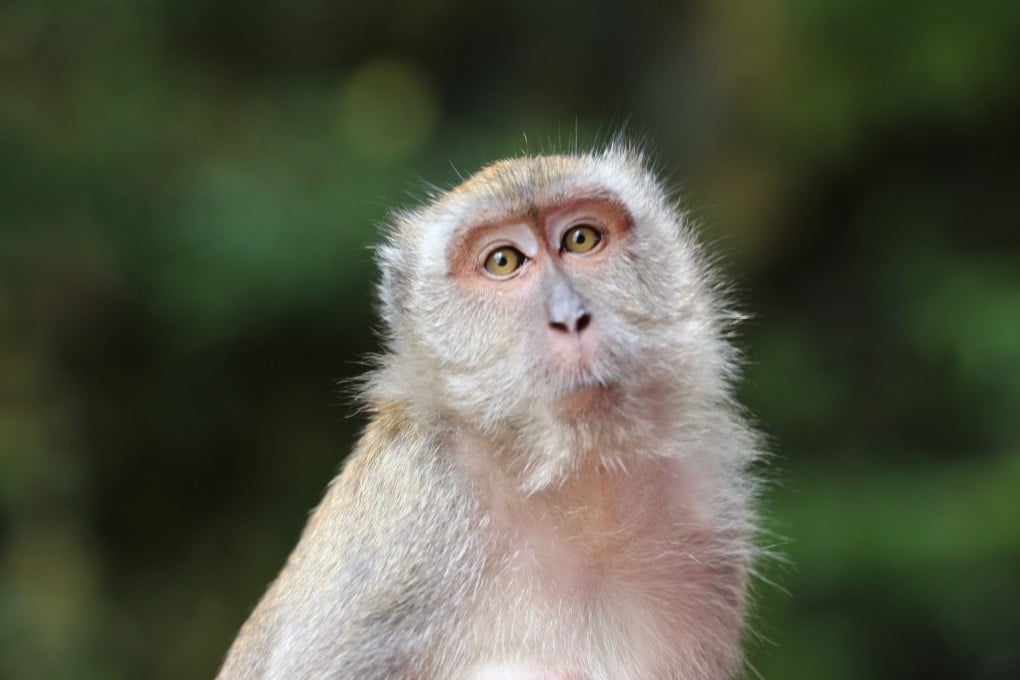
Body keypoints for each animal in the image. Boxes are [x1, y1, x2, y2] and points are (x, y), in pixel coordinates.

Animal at [217, 145, 763, 680]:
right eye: (503, 261)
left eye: (580, 239)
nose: (569, 317)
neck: (580, 487)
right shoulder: (409, 526)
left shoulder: (707, 518)